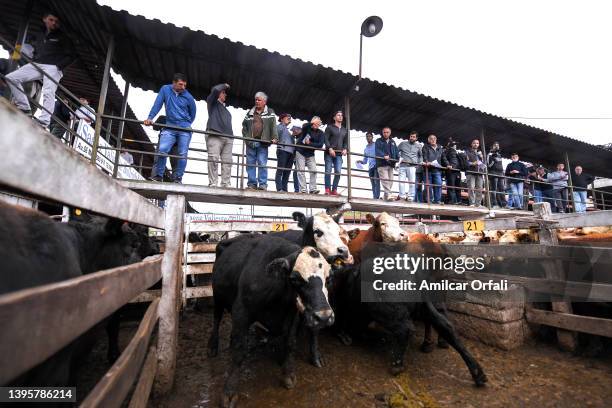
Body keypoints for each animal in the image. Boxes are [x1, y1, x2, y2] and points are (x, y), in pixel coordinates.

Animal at [210, 236, 334, 408]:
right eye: (295, 279)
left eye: (328, 279)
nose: (323, 317)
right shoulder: (241, 310)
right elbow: (239, 351)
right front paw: (229, 392)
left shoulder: (293, 313)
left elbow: (290, 343)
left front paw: (288, 374)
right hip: (217, 297)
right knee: (217, 317)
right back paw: (213, 345)